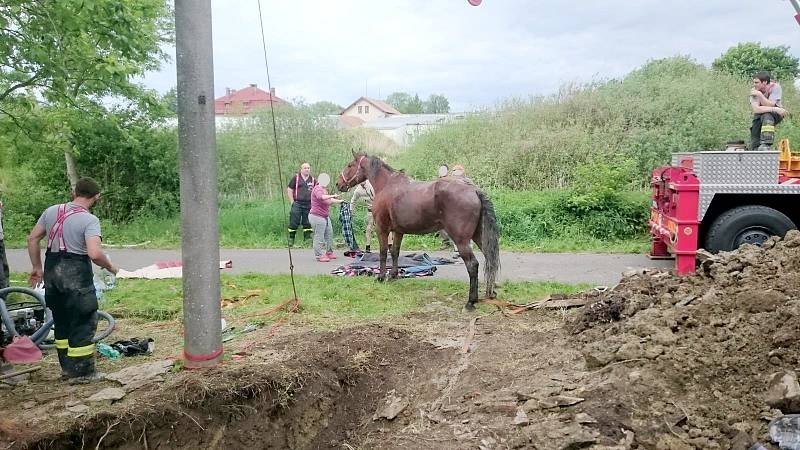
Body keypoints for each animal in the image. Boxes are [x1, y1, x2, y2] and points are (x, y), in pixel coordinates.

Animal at [336, 151, 500, 310]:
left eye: (350, 165)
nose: (338, 183)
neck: (387, 185)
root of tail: (473, 190)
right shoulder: (398, 231)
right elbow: (394, 252)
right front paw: (393, 275)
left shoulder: (382, 228)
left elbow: (383, 253)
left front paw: (381, 277)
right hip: (479, 236)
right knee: (490, 259)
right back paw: (490, 292)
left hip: (461, 240)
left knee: (473, 265)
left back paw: (471, 302)